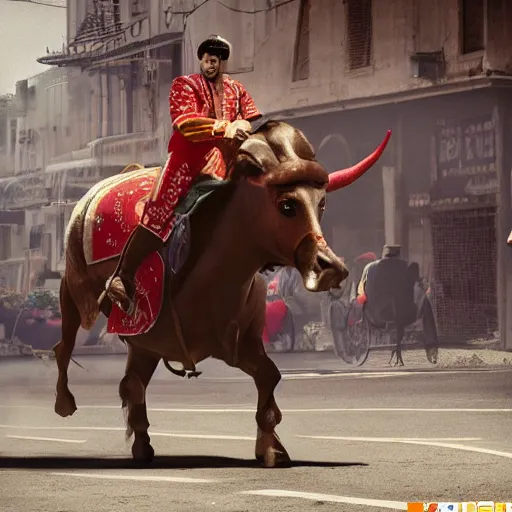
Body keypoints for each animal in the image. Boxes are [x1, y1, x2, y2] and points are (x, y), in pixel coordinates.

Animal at [53, 120, 388, 468]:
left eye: (321, 203)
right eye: (287, 205)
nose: (331, 268)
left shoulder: (240, 343)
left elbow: (270, 376)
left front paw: (272, 448)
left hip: (143, 342)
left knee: (133, 383)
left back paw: (142, 445)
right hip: (72, 288)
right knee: (64, 347)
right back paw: (64, 402)